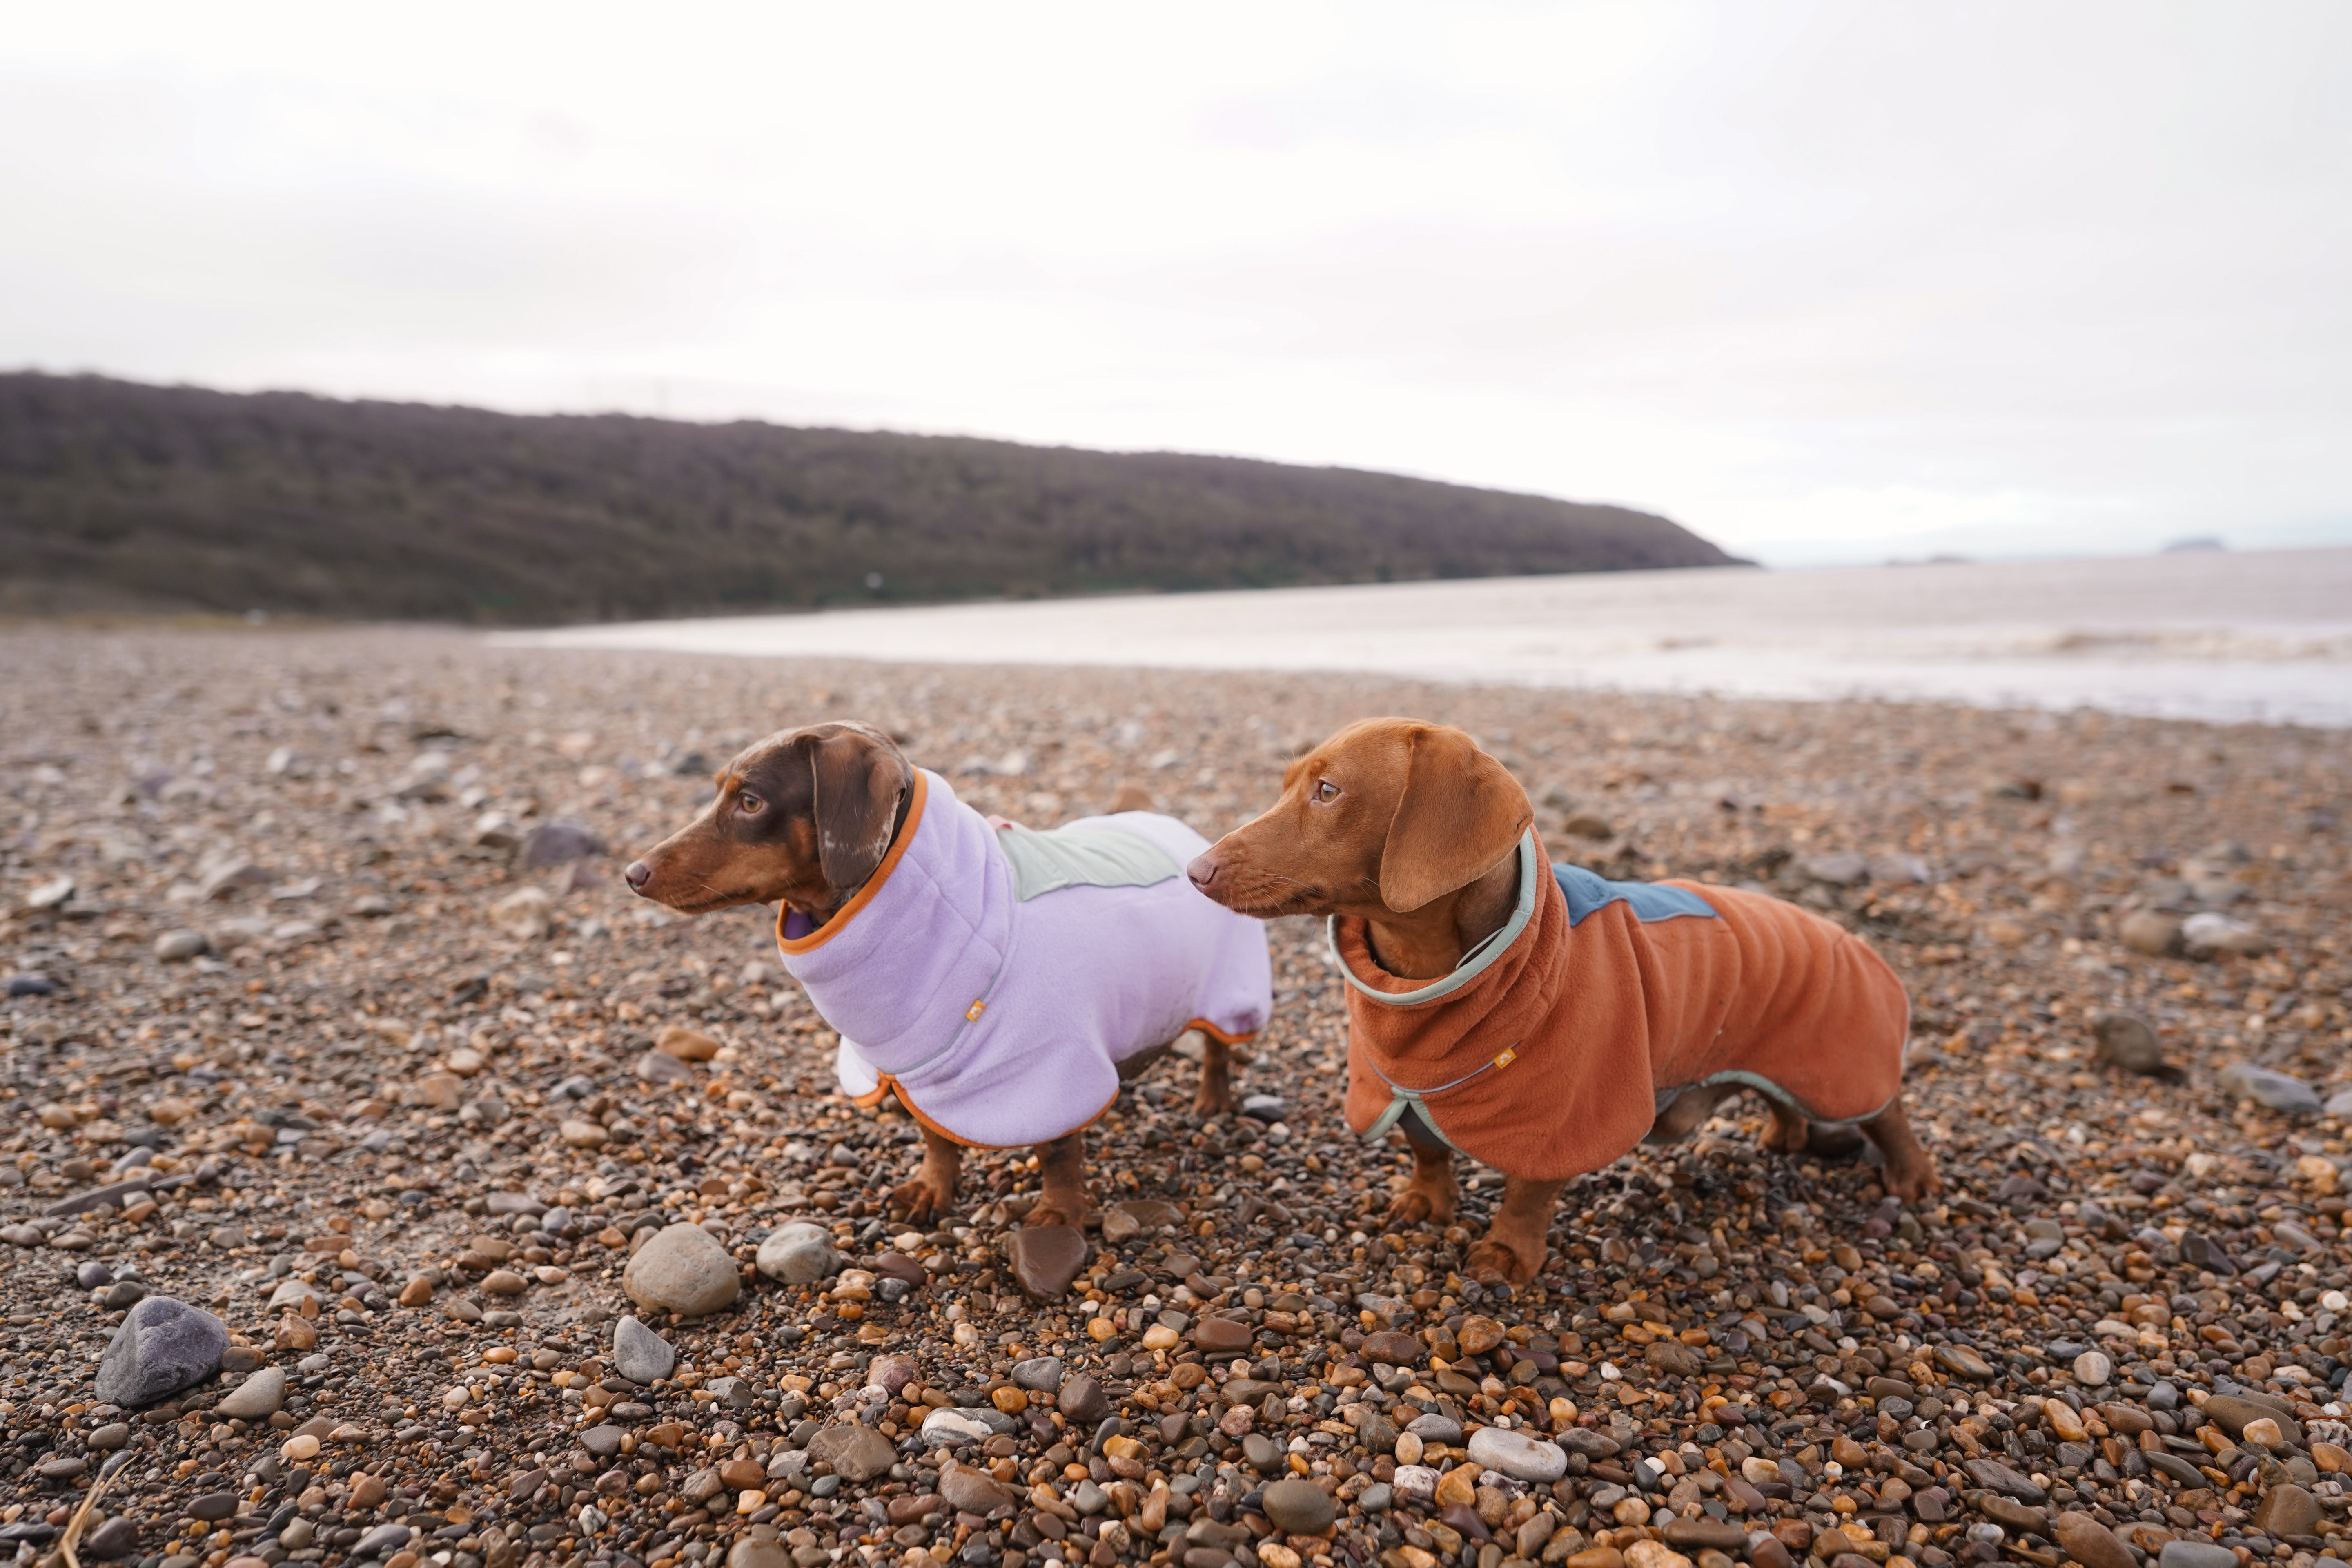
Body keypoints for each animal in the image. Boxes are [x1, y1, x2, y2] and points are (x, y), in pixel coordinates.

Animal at [625, 721, 1272, 1228]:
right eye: (719, 792)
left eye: (752, 802)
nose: (633, 874)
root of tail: (1175, 826)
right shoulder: (923, 1060)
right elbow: (935, 1135)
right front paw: (933, 1189)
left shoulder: (1050, 1063)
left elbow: (1058, 1151)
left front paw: (1059, 1213)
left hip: (1231, 988)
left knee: (1219, 1048)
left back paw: (1213, 1099)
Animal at [1185, 716, 1936, 1285]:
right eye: (1288, 784)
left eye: (1328, 790)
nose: (1196, 871)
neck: (1425, 977)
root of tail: (1847, 934)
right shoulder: (1398, 1084)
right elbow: (1426, 1150)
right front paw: (1425, 1202)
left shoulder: (1563, 1115)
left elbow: (1528, 1189)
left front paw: (1507, 1251)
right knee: (1788, 1102)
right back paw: (1785, 1136)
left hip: (1837, 1063)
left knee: (1890, 1112)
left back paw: (1912, 1177)